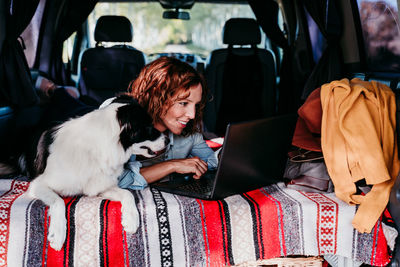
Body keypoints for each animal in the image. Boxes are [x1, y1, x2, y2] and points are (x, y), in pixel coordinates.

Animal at [26, 96, 167, 251]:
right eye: (148, 126)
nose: (167, 140)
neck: (97, 148)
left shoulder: (100, 186)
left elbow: (128, 194)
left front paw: (131, 219)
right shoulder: (38, 184)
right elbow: (58, 201)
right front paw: (57, 234)